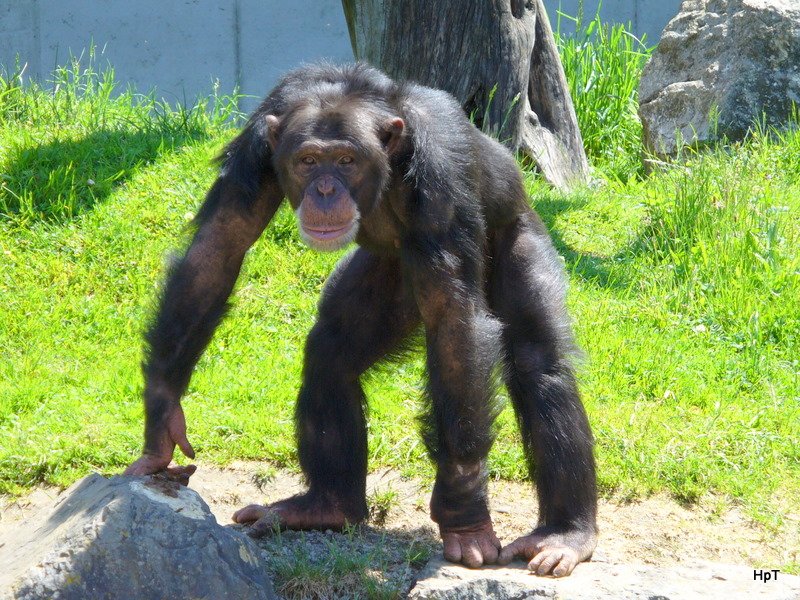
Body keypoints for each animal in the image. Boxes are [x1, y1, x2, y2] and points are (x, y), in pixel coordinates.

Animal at [125, 64, 596, 576]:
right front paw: (162, 417)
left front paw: (465, 514)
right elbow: (219, 245)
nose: (326, 188)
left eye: (347, 160)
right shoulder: (257, 144)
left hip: (518, 234)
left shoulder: (442, 172)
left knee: (539, 362)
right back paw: (326, 506)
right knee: (331, 351)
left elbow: (456, 319)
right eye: (309, 160)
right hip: (390, 277)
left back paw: (564, 533)